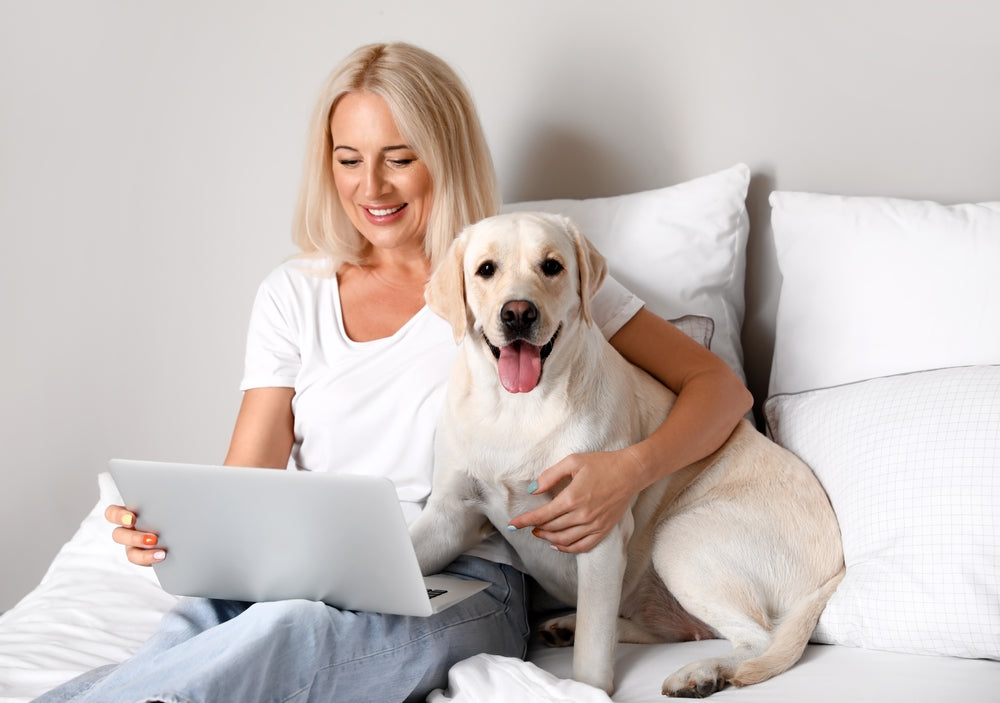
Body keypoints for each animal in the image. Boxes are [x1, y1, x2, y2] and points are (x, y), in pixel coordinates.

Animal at [406, 212, 844, 696]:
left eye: (552, 266)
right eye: (486, 269)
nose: (518, 313)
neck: (517, 410)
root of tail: (834, 571)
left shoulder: (597, 531)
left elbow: (592, 659)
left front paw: (585, 691)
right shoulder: (450, 516)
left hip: (680, 537)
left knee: (758, 639)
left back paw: (702, 672)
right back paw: (571, 626)